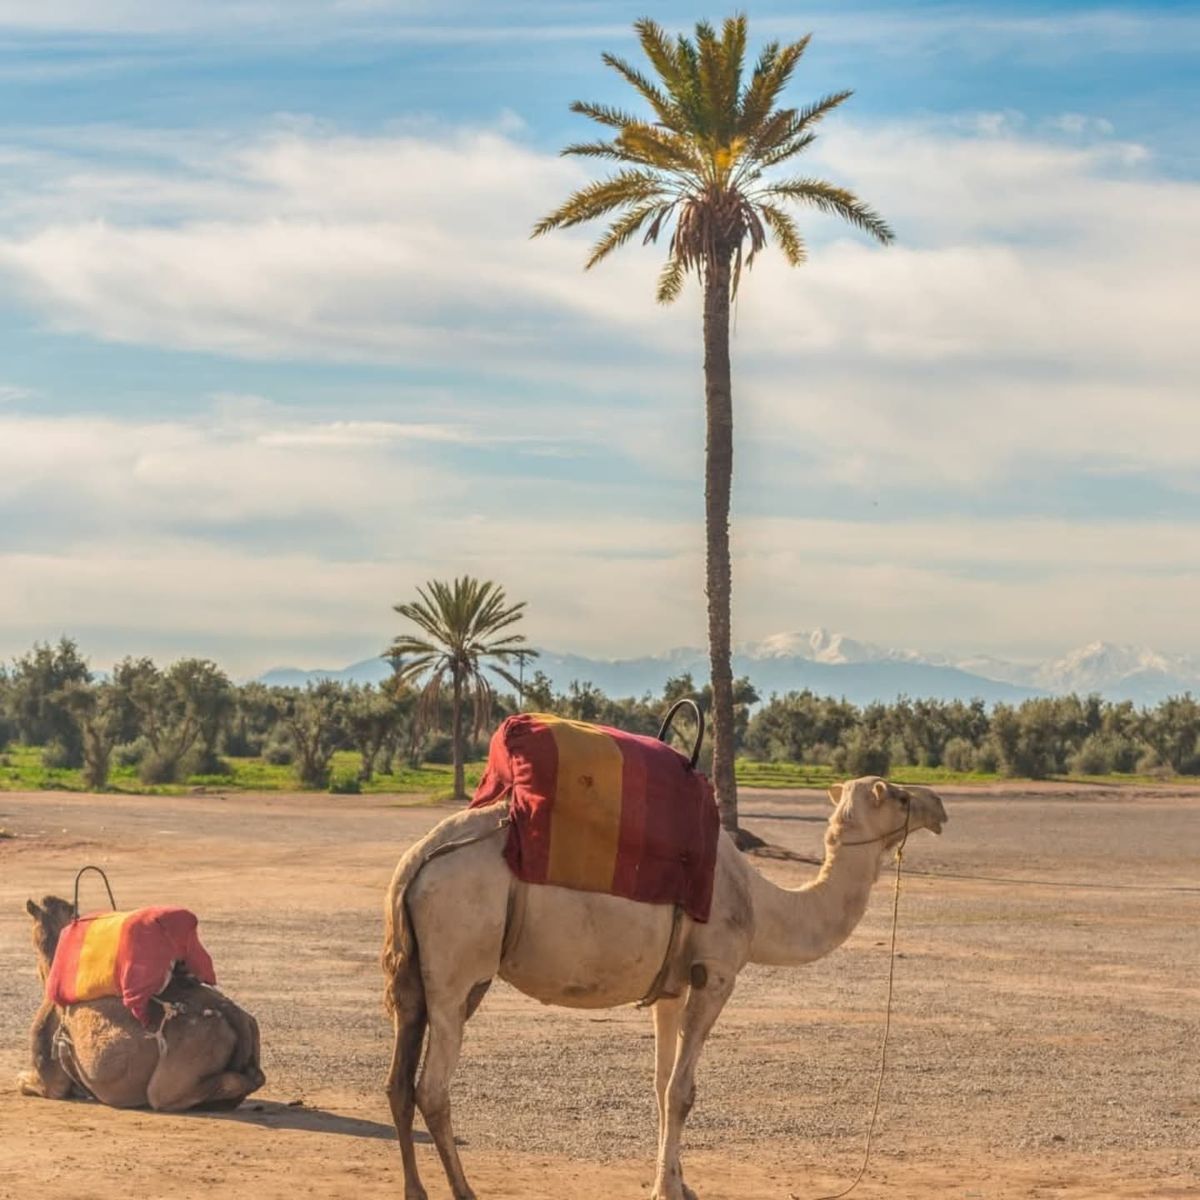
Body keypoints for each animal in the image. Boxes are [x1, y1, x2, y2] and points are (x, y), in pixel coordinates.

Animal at [381, 775, 947, 1200]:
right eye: (899, 795)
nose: (939, 806)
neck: (762, 906)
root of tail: (417, 860)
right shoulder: (716, 973)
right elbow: (682, 1091)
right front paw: (668, 1189)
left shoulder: (672, 986)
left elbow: (659, 1083)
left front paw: (677, 1181)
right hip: (457, 965)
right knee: (432, 1087)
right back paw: (464, 1191)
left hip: (418, 977)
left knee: (399, 1080)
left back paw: (415, 1191)